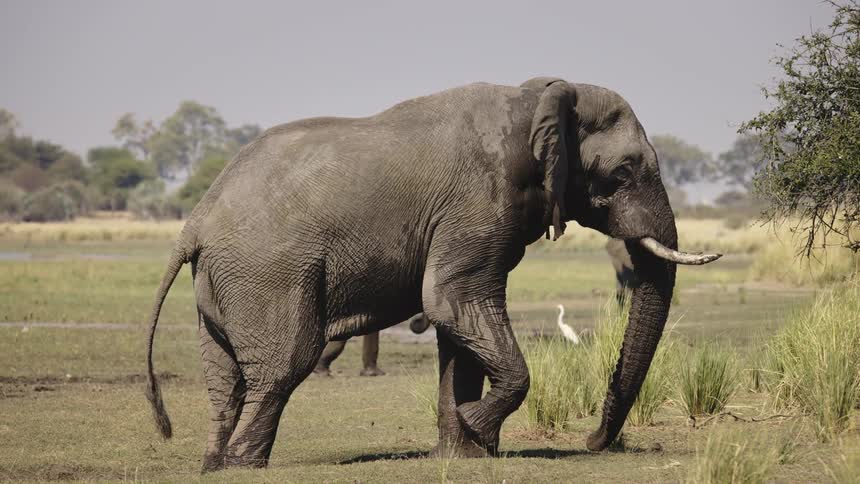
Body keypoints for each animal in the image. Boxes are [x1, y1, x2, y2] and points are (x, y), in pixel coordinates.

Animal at [145, 77, 721, 471]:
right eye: (623, 172)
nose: (592, 442)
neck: (539, 95)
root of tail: (194, 222)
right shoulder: (478, 202)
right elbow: (452, 301)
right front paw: (475, 429)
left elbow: (457, 323)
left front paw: (464, 454)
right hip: (267, 275)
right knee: (283, 366)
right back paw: (244, 466)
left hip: (222, 284)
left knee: (226, 381)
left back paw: (214, 465)